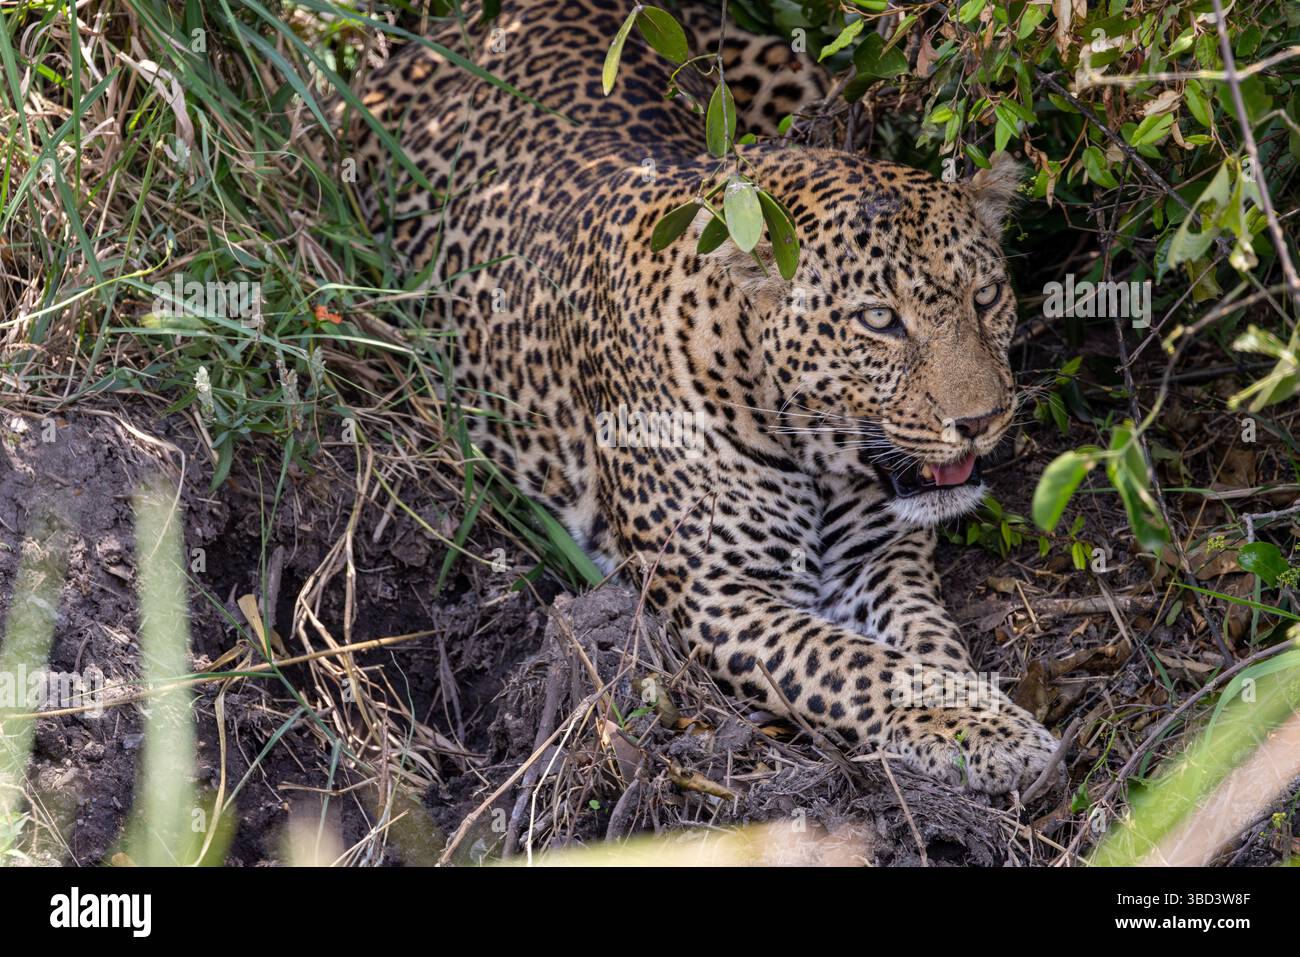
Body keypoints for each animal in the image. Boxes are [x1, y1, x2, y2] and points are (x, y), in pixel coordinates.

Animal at [349, 0, 1059, 794]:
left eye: (986, 296)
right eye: (880, 320)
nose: (982, 420)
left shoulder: (882, 556)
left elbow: (924, 643)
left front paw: (967, 713)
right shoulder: (719, 594)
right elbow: (856, 665)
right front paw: (988, 731)